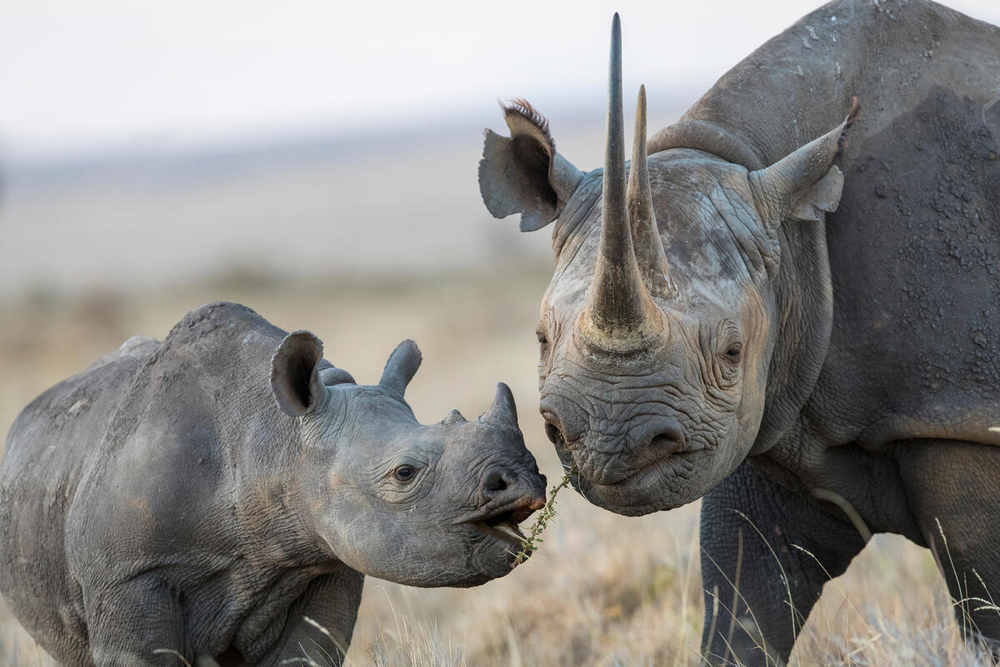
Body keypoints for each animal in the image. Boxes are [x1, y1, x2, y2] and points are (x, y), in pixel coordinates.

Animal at [476, 0, 1000, 664]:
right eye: (542, 340)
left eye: (731, 350)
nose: (607, 443)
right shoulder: (769, 415)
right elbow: (743, 603)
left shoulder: (956, 412)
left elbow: (985, 604)